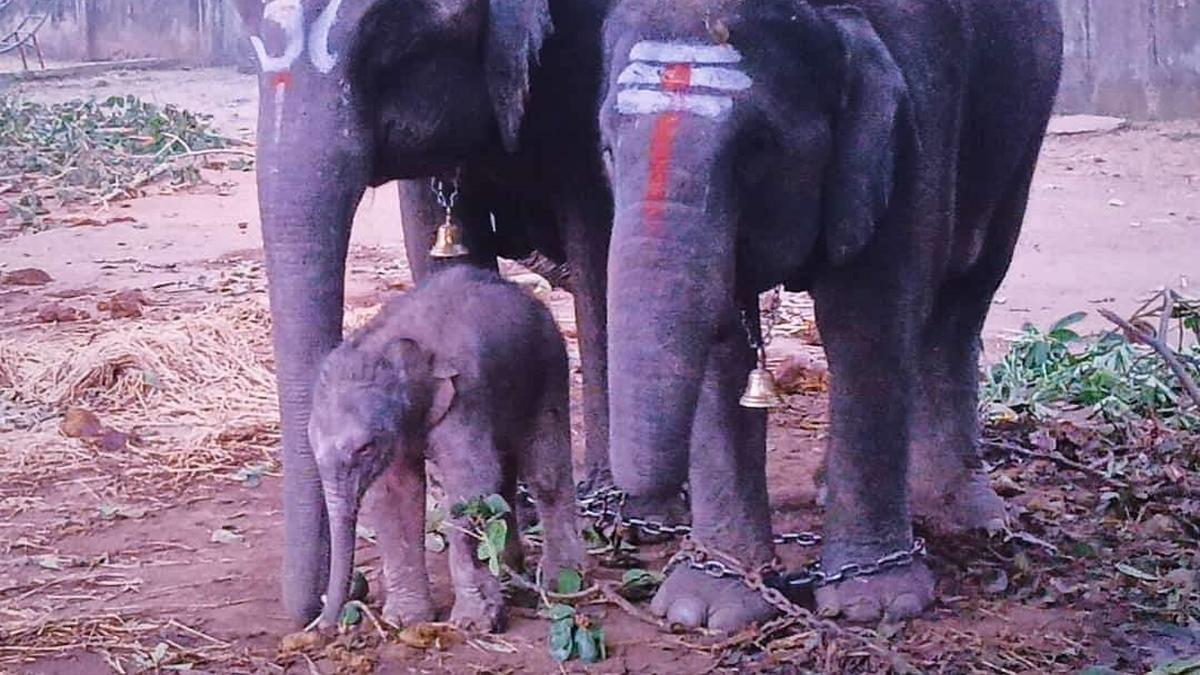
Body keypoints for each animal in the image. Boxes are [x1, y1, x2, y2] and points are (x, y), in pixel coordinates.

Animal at [309, 267, 585, 631]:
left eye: (365, 448)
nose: (325, 625)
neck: (387, 346)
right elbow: (396, 496)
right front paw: (405, 621)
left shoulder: (466, 397)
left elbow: (469, 487)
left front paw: (474, 623)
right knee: (505, 479)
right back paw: (511, 578)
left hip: (549, 367)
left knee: (545, 471)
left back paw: (561, 585)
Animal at [597, 0, 1063, 628]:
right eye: (608, 149)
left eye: (757, 148)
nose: (643, 522)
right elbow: (722, 341)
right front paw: (708, 609)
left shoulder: (919, 103)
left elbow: (864, 320)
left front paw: (878, 606)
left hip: (1027, 123)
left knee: (965, 295)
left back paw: (961, 516)